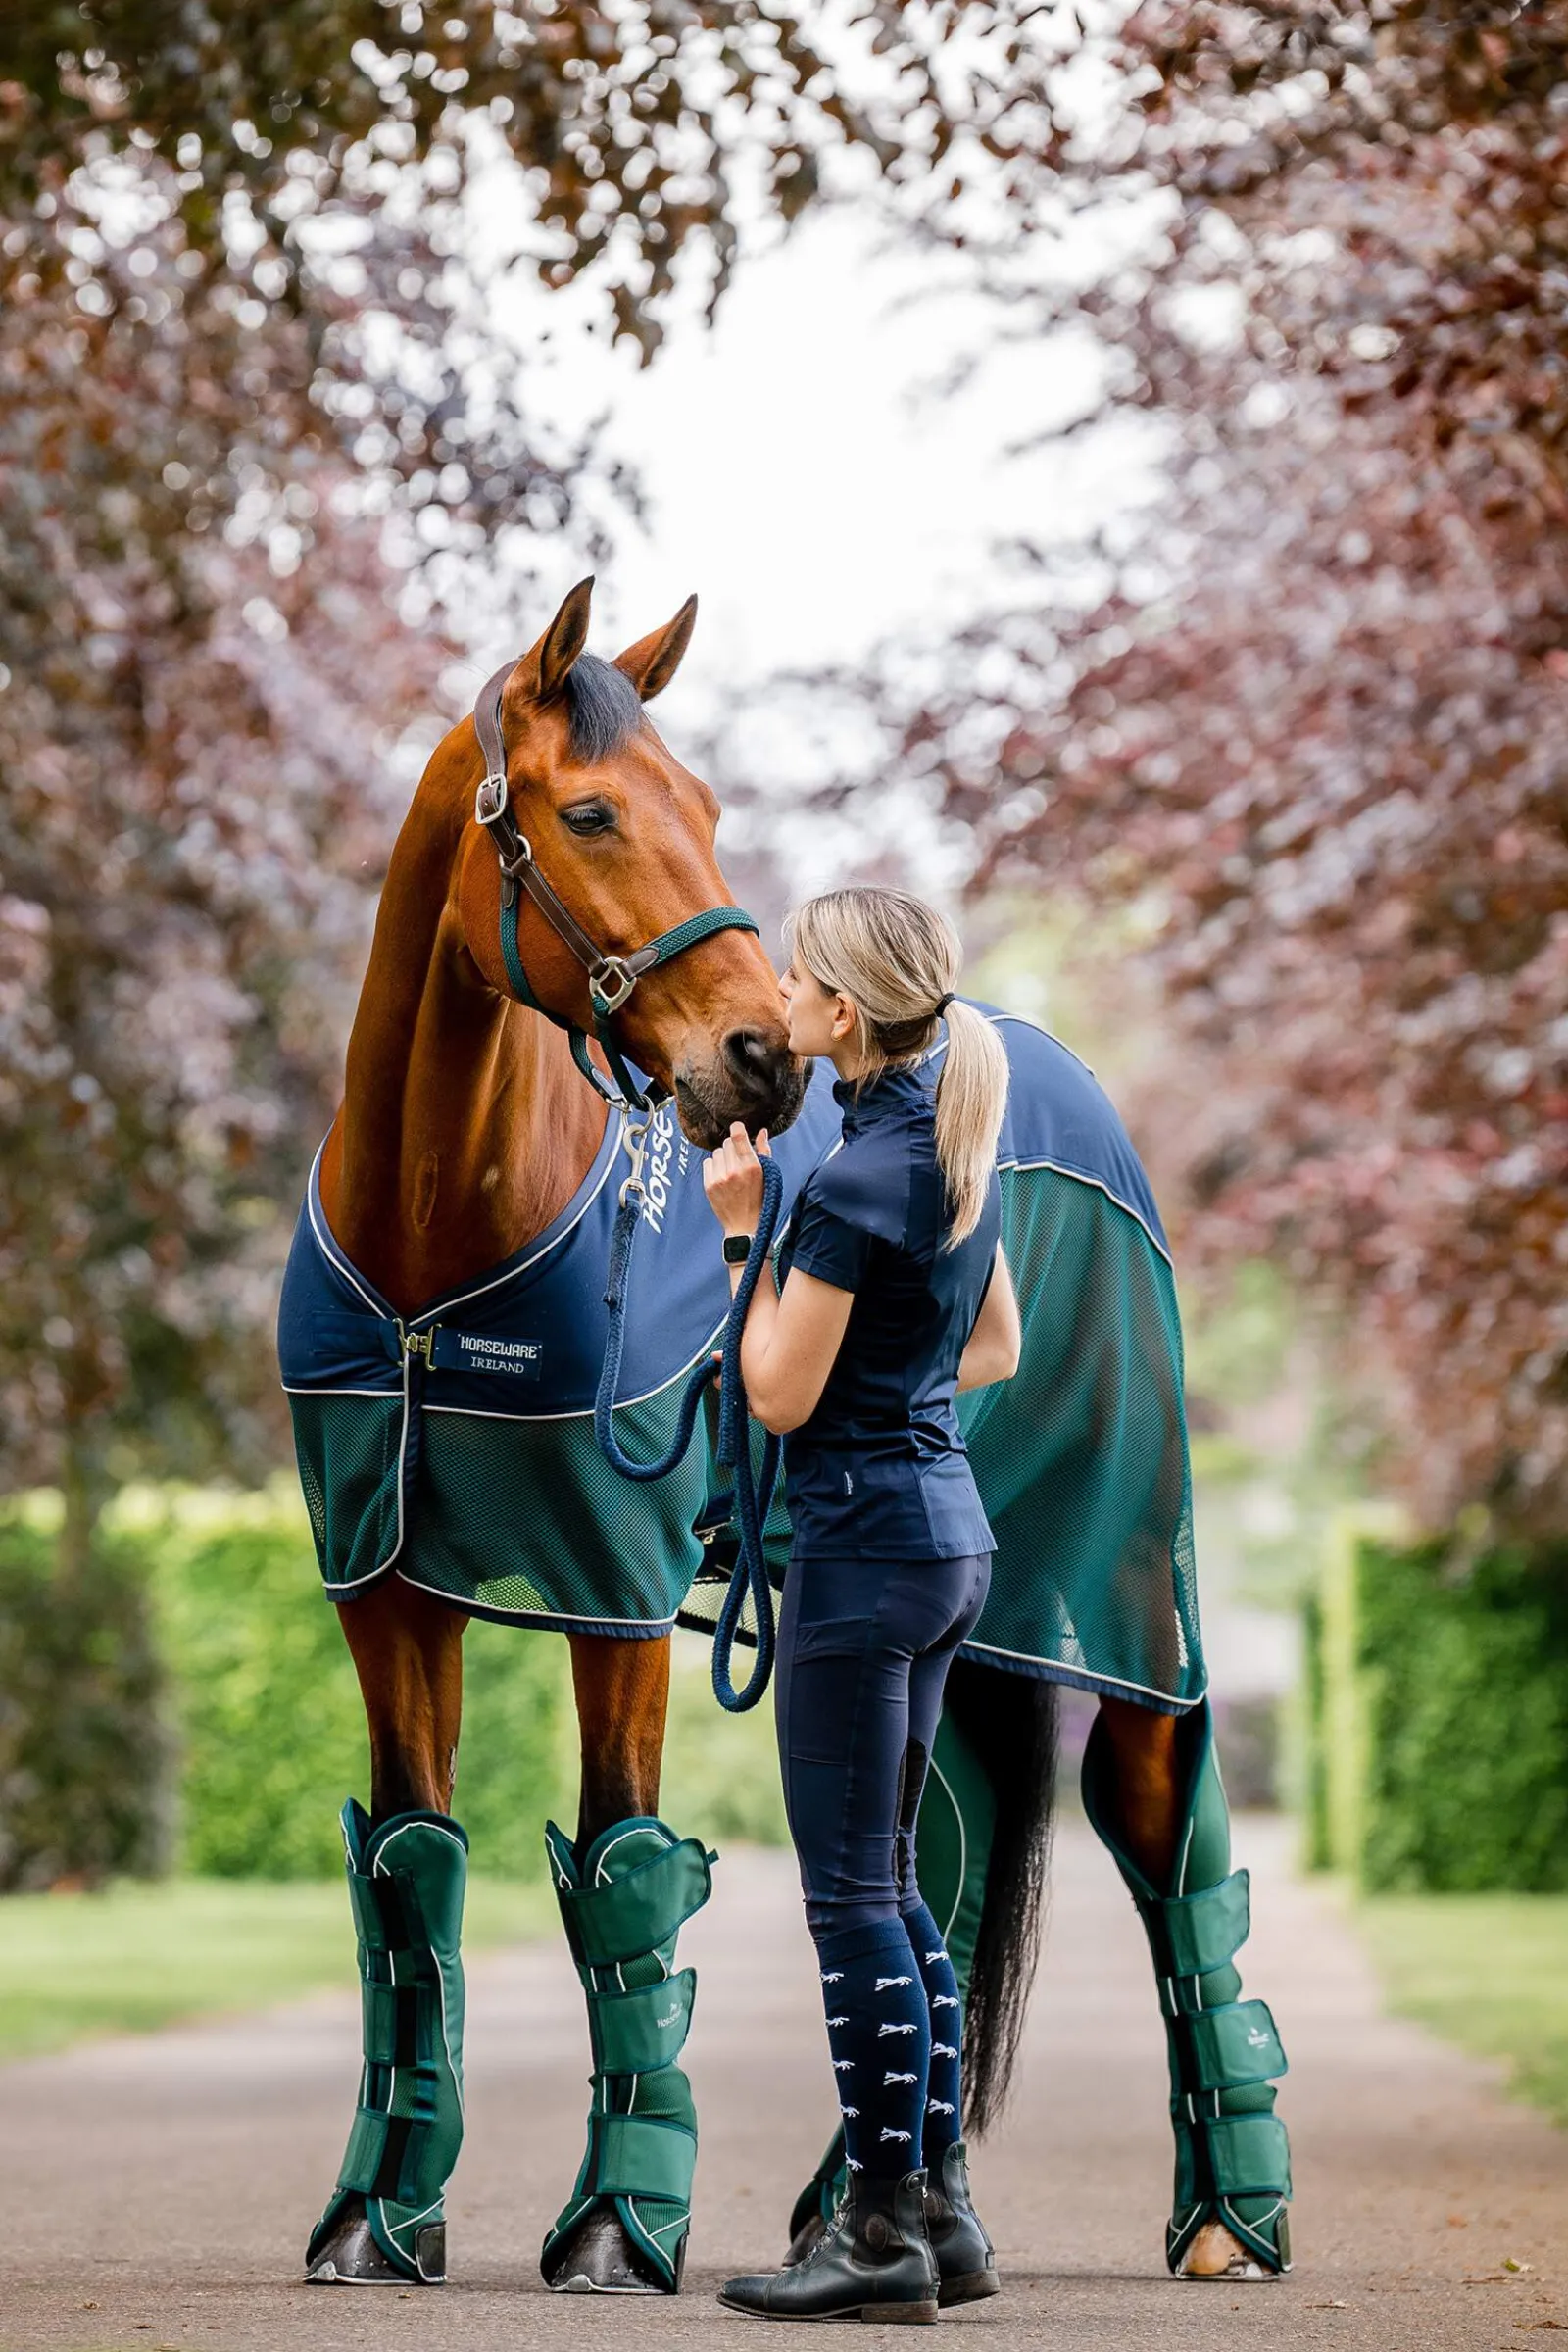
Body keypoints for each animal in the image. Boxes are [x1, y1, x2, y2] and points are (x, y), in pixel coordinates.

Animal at [278, 578, 1292, 2297]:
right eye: (593, 810)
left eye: (705, 805)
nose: (761, 1056)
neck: (439, 1252)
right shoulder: (386, 1589)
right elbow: (411, 1872)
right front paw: (374, 2218)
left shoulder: (613, 1594)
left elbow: (620, 1871)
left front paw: (615, 2229)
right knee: (930, 1862)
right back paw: (877, 2210)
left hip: (1122, 1600)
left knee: (1168, 1839)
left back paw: (1230, 2214)